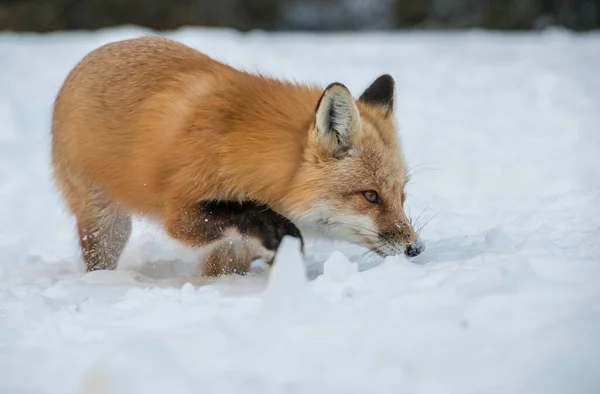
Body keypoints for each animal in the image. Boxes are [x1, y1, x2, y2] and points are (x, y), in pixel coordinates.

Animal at [51, 36, 424, 278]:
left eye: (402, 195)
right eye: (370, 196)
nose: (415, 249)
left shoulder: (229, 250)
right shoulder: (180, 214)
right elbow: (238, 211)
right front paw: (275, 230)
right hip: (106, 226)